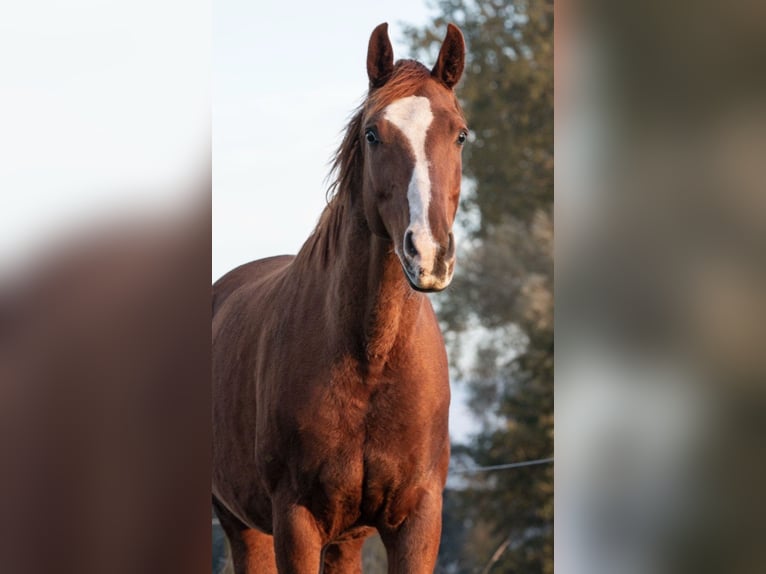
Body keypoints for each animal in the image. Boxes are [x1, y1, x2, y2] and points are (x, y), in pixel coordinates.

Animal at [212, 22, 466, 573]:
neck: (372, 357)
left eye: (460, 134)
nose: (428, 252)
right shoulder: (297, 521)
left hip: (346, 539)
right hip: (242, 525)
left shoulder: (418, 521)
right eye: (373, 134)